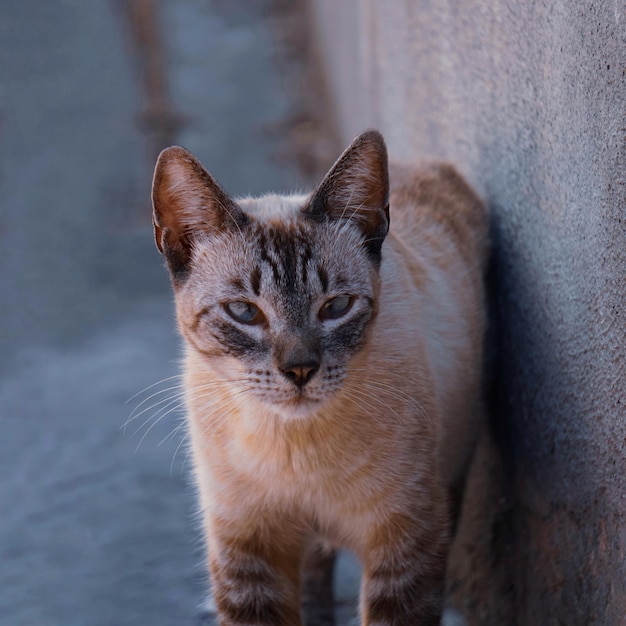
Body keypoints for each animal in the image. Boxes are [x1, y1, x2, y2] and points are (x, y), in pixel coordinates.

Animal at [150, 129, 488, 620]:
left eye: (336, 307)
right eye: (244, 312)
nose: (299, 369)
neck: (294, 445)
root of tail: (430, 164)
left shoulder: (405, 544)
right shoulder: (247, 552)